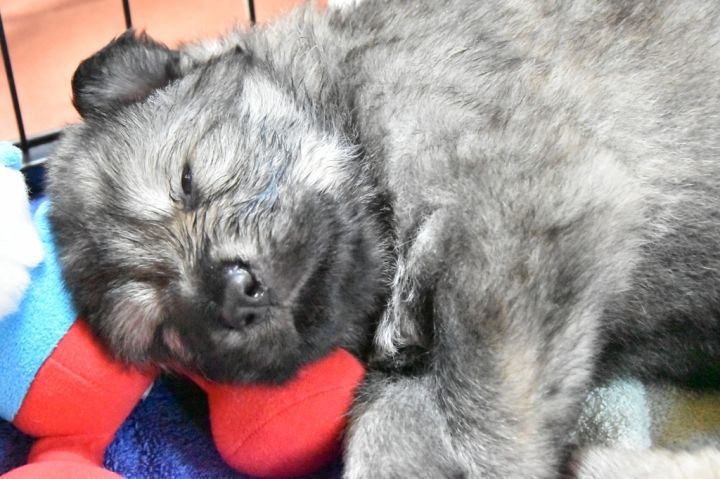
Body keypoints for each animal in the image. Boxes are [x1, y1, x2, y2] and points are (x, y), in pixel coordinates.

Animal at [47, 0, 720, 477]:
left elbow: (485, 412)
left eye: (187, 180)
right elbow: (384, 423)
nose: (233, 294)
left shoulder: (521, 209)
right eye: (165, 329)